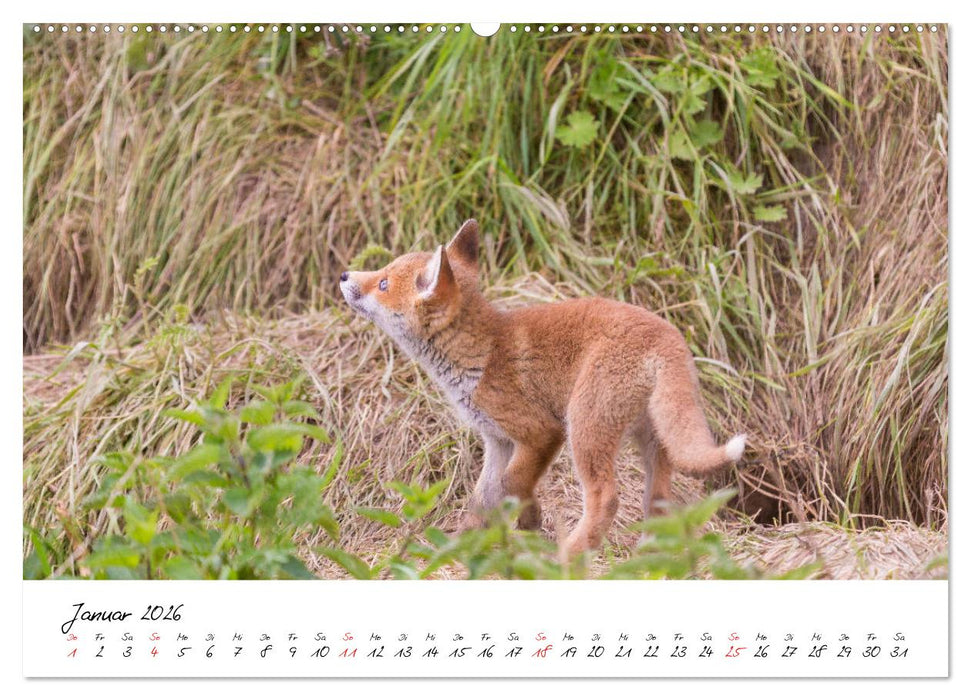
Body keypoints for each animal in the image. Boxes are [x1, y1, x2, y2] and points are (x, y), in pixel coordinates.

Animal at [339, 219, 746, 555]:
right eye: (382, 272)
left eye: (383, 284)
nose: (343, 274)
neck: (481, 355)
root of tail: (668, 336)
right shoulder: (498, 441)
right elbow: (481, 500)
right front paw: (457, 545)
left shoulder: (541, 432)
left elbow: (514, 481)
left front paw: (530, 520)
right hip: (654, 441)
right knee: (659, 502)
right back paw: (650, 555)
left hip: (584, 428)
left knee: (606, 498)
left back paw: (571, 554)